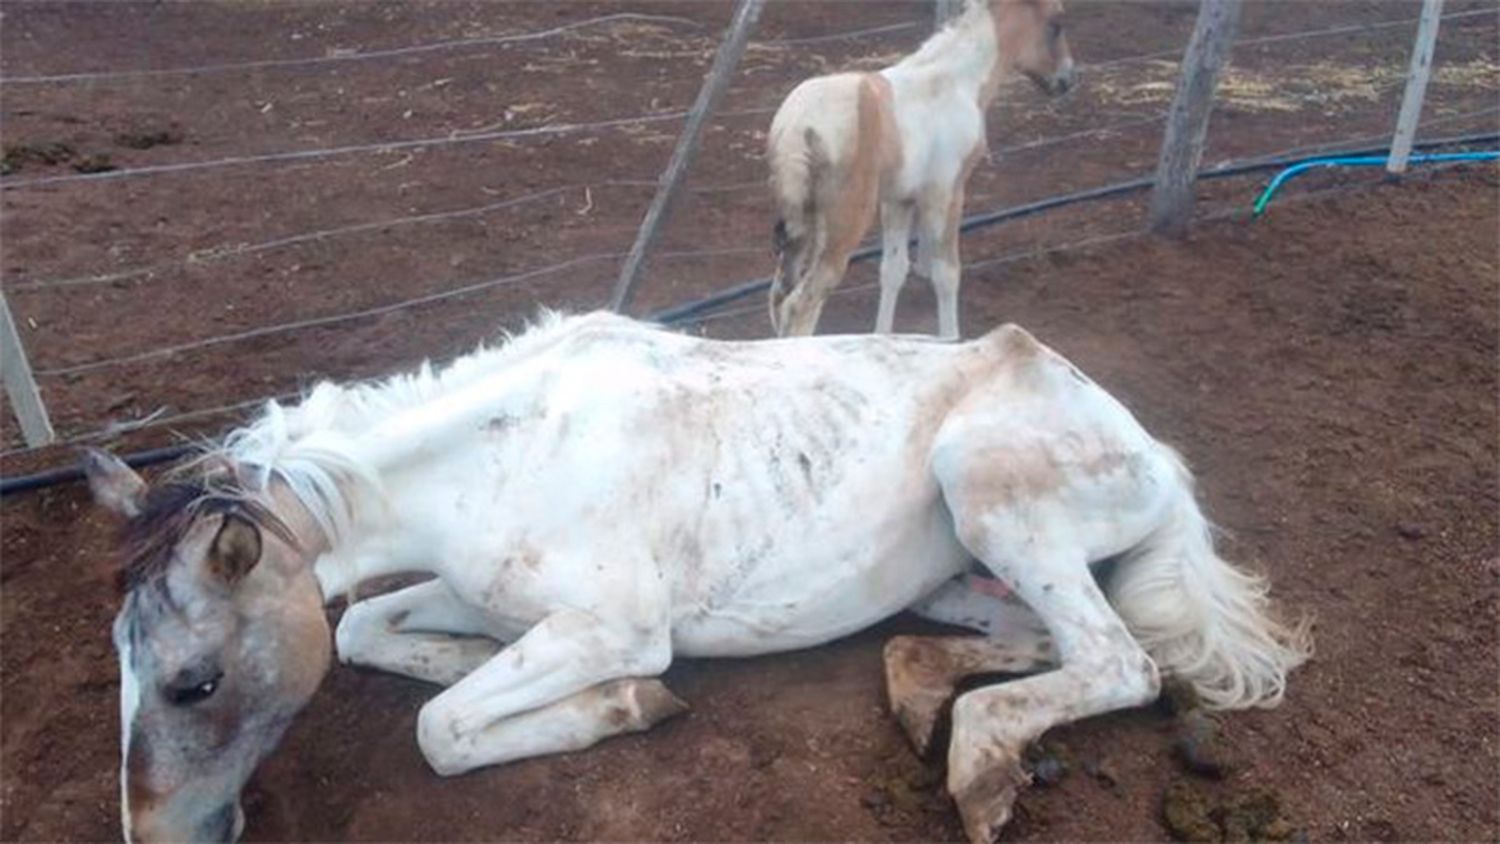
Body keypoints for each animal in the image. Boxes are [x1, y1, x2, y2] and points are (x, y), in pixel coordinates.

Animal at [87, 311, 1308, 844]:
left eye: (195, 681)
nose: (156, 837)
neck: (500, 454)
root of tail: (1153, 451)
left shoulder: (615, 625)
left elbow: (444, 727)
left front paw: (620, 707)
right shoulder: (474, 588)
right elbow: (363, 634)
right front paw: (464, 656)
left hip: (989, 490)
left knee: (1123, 662)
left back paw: (983, 763)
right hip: (954, 573)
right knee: (1039, 641)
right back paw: (923, 692)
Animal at [768, 0, 1074, 340]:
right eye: (1057, 22)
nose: (1066, 79)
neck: (954, 81)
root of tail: (797, 127)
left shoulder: (899, 199)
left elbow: (893, 270)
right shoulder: (947, 190)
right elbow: (946, 272)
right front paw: (951, 341)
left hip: (800, 224)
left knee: (779, 296)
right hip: (843, 223)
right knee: (800, 303)